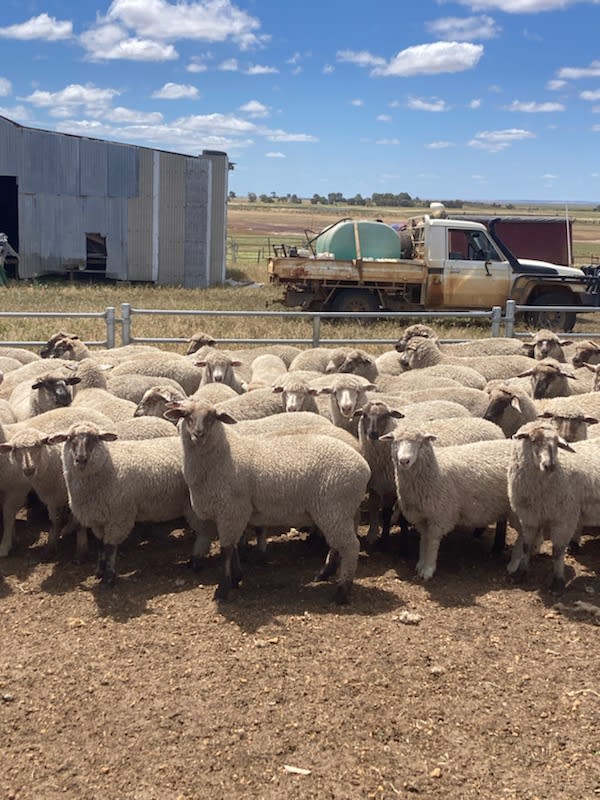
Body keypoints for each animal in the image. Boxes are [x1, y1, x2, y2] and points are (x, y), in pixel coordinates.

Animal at [47, 422, 206, 585]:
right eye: (69, 438)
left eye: (95, 438)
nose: (81, 459)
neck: (109, 466)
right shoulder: (98, 518)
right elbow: (100, 545)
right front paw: (99, 571)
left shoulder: (119, 517)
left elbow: (110, 547)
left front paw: (109, 577)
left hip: (197, 503)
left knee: (205, 533)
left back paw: (196, 560)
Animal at [164, 398, 371, 604]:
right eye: (187, 416)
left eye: (212, 416)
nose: (199, 434)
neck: (222, 455)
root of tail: (363, 465)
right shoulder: (232, 513)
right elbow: (234, 547)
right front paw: (236, 578)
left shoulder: (231, 510)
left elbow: (226, 550)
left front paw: (223, 589)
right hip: (340, 511)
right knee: (339, 543)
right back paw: (326, 572)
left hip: (333, 509)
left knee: (350, 547)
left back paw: (341, 591)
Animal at [380, 427, 516, 580]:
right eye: (395, 442)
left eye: (420, 442)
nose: (404, 461)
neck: (435, 470)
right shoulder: (422, 516)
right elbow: (424, 539)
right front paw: (421, 564)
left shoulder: (440, 514)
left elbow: (432, 541)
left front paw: (428, 569)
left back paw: (505, 555)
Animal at [507, 421, 600, 591]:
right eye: (533, 440)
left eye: (557, 443)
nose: (550, 465)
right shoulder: (529, 517)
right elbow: (526, 547)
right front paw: (520, 574)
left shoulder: (563, 519)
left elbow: (557, 552)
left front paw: (557, 582)